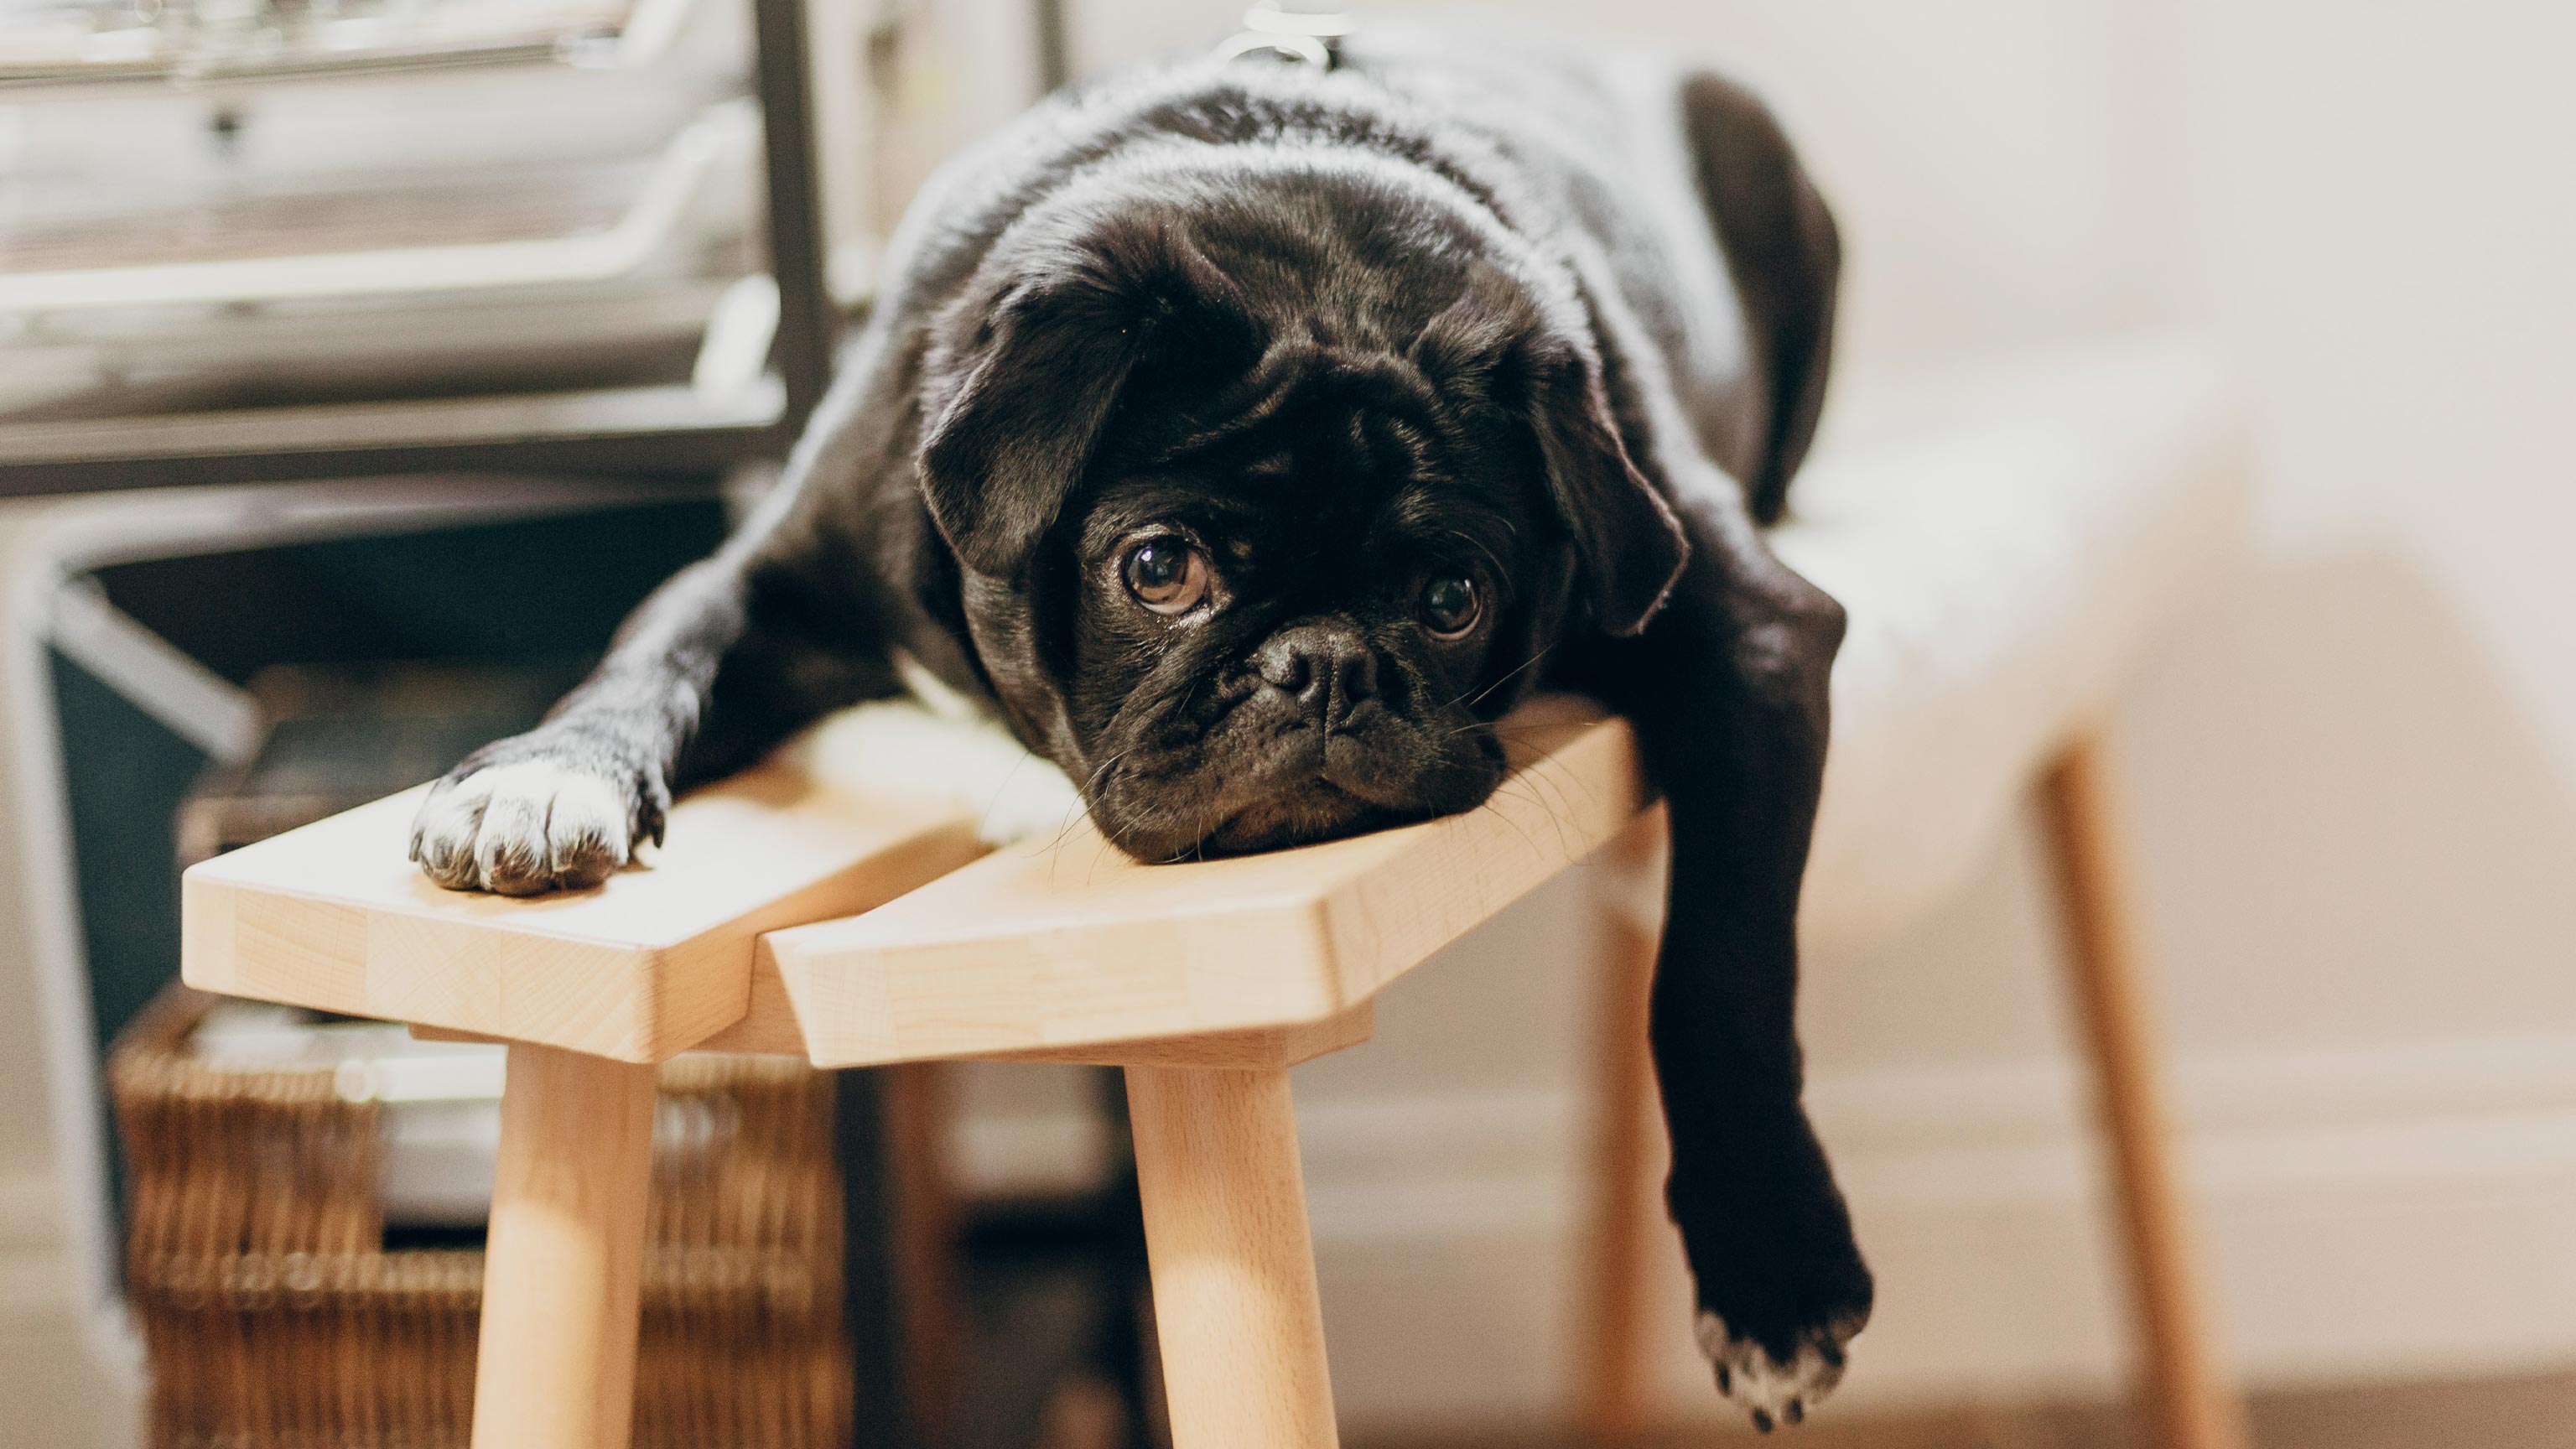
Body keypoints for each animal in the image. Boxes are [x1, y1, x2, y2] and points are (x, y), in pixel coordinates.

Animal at [417, 17, 1875, 1423]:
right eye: (1160, 570)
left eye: (1453, 599)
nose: (1324, 664)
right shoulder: (762, 580)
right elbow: (650, 657)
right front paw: (543, 778)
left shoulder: (1751, 633)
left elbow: (1721, 970)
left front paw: (1773, 1267)